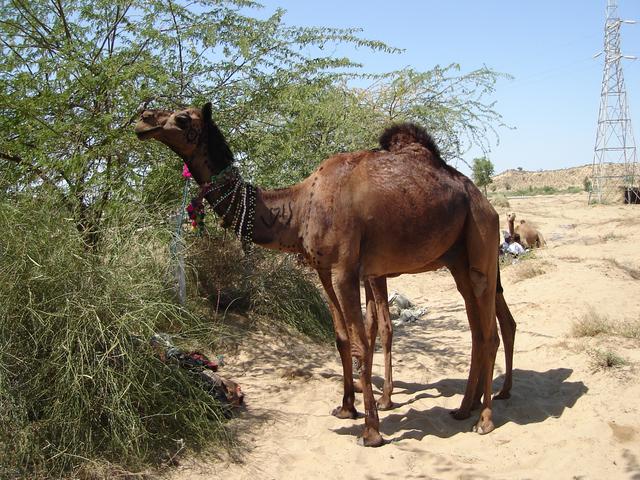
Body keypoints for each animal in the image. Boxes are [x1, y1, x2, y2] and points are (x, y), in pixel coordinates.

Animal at [135, 103, 510, 447]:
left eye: (182, 118)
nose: (143, 119)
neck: (300, 206)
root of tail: (484, 200)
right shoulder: (324, 270)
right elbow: (341, 337)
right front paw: (346, 409)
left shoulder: (346, 269)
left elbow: (361, 342)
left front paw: (372, 431)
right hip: (457, 259)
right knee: (477, 330)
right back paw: (463, 409)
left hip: (482, 239)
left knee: (489, 330)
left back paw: (485, 419)